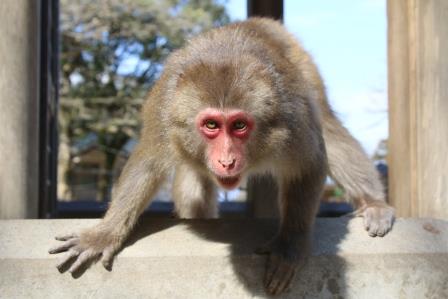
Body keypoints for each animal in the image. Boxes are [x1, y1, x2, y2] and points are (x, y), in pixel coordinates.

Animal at [47, 18, 394, 296]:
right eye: (212, 125)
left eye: (239, 125)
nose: (226, 160)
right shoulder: (165, 111)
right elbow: (147, 166)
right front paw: (104, 234)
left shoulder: (291, 115)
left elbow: (309, 164)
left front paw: (289, 245)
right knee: (192, 183)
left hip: (304, 68)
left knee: (328, 127)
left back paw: (373, 203)